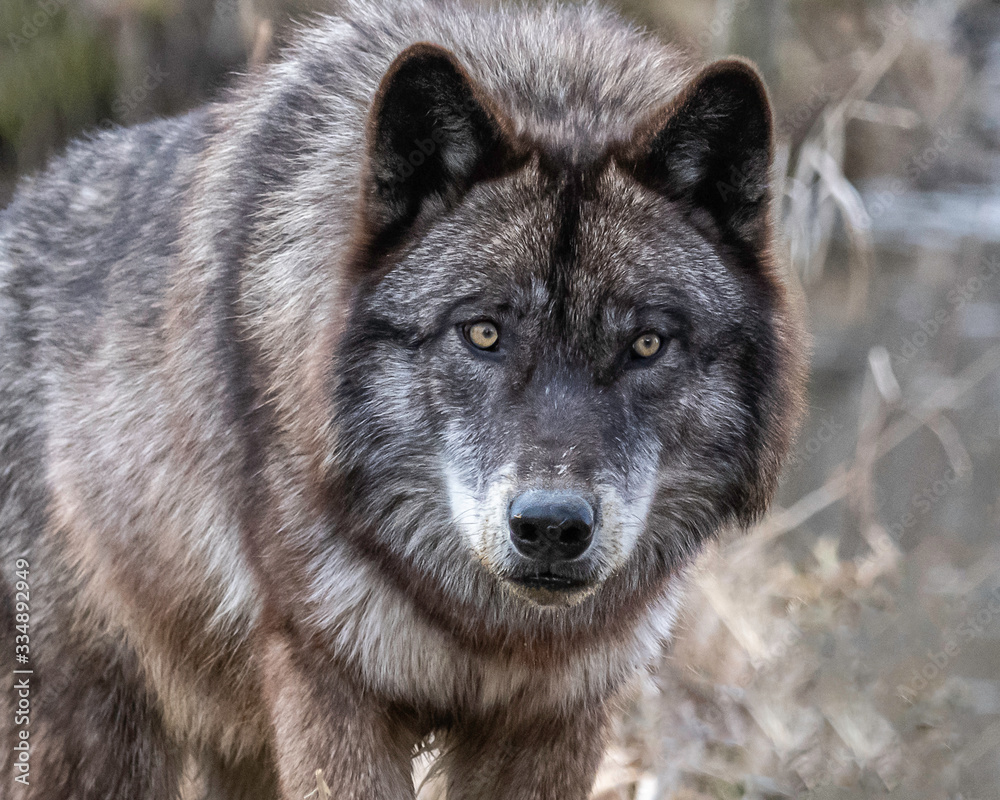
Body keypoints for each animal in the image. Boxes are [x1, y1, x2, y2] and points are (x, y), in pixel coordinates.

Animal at [0, 1, 805, 798]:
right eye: (483, 333)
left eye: (645, 345)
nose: (550, 526)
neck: (487, 629)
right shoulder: (327, 683)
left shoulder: (558, 714)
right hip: (102, 734)